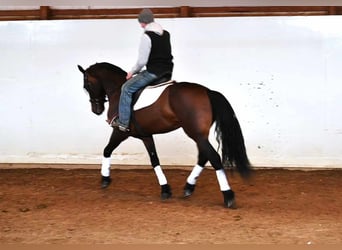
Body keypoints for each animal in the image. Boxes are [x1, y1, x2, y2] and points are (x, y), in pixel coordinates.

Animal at [79, 61, 252, 208]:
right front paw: (165, 189)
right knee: (204, 157)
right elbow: (154, 160)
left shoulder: (120, 131)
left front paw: (105, 179)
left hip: (195, 134)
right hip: (199, 135)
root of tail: (207, 91)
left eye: (87, 85)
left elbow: (107, 150)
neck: (118, 90)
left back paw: (228, 196)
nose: (96, 110)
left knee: (213, 157)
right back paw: (189, 187)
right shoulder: (146, 135)